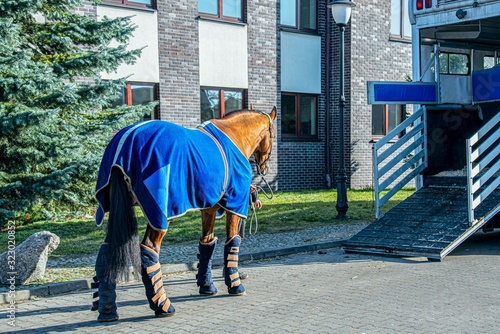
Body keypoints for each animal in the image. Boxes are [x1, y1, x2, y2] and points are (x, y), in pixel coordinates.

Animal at [92, 107, 276, 320]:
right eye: (273, 135)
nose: (265, 167)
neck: (234, 136)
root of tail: (125, 142)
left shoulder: (209, 208)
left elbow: (207, 244)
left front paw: (207, 286)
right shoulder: (235, 205)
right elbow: (233, 243)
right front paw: (235, 285)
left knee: (107, 250)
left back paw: (107, 310)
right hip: (158, 213)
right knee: (149, 250)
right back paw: (163, 306)